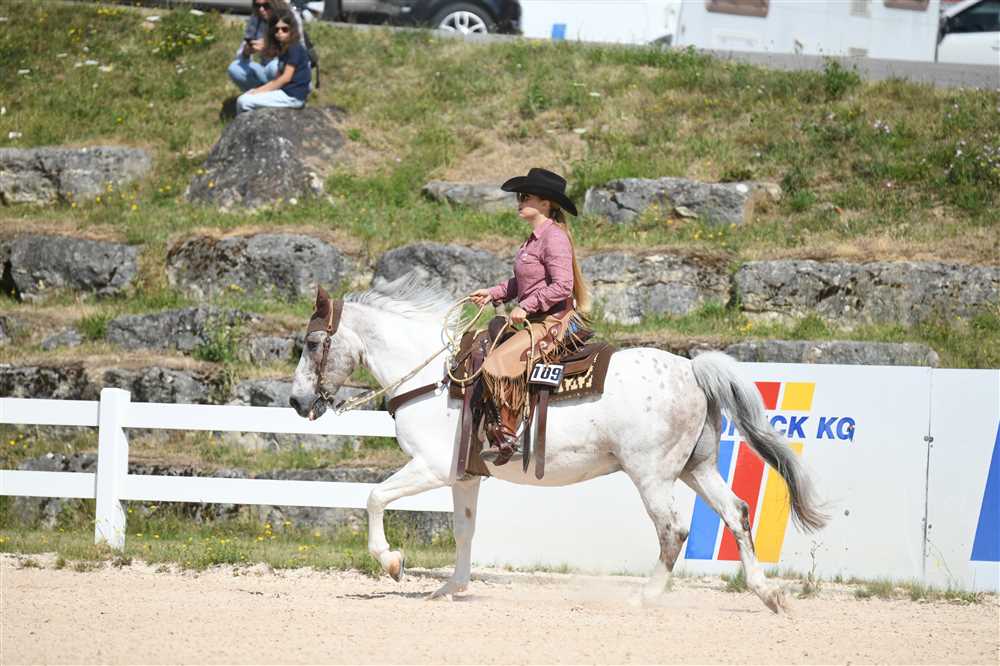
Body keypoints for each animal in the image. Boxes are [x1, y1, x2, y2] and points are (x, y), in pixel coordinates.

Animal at [288, 276, 828, 613]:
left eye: (312, 344)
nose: (295, 401)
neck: (439, 378)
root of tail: (692, 369)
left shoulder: (432, 467)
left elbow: (374, 496)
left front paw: (392, 562)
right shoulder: (464, 475)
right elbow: (464, 530)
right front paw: (450, 588)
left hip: (652, 475)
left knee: (673, 530)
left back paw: (644, 598)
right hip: (697, 467)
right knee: (736, 512)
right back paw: (768, 594)